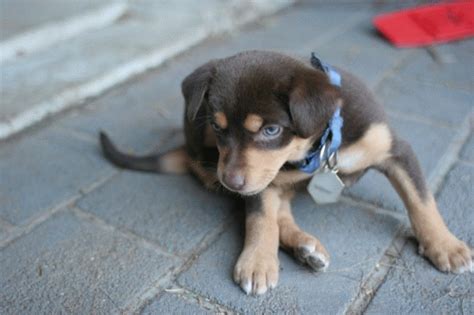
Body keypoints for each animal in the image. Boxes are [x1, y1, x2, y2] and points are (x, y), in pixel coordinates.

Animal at [99, 50, 470, 296]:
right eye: (218, 127)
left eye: (271, 130)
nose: (229, 182)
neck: (319, 146)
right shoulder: (261, 179)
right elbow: (261, 219)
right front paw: (257, 262)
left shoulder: (396, 151)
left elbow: (421, 200)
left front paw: (445, 246)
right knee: (278, 213)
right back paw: (304, 247)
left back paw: (305, 248)